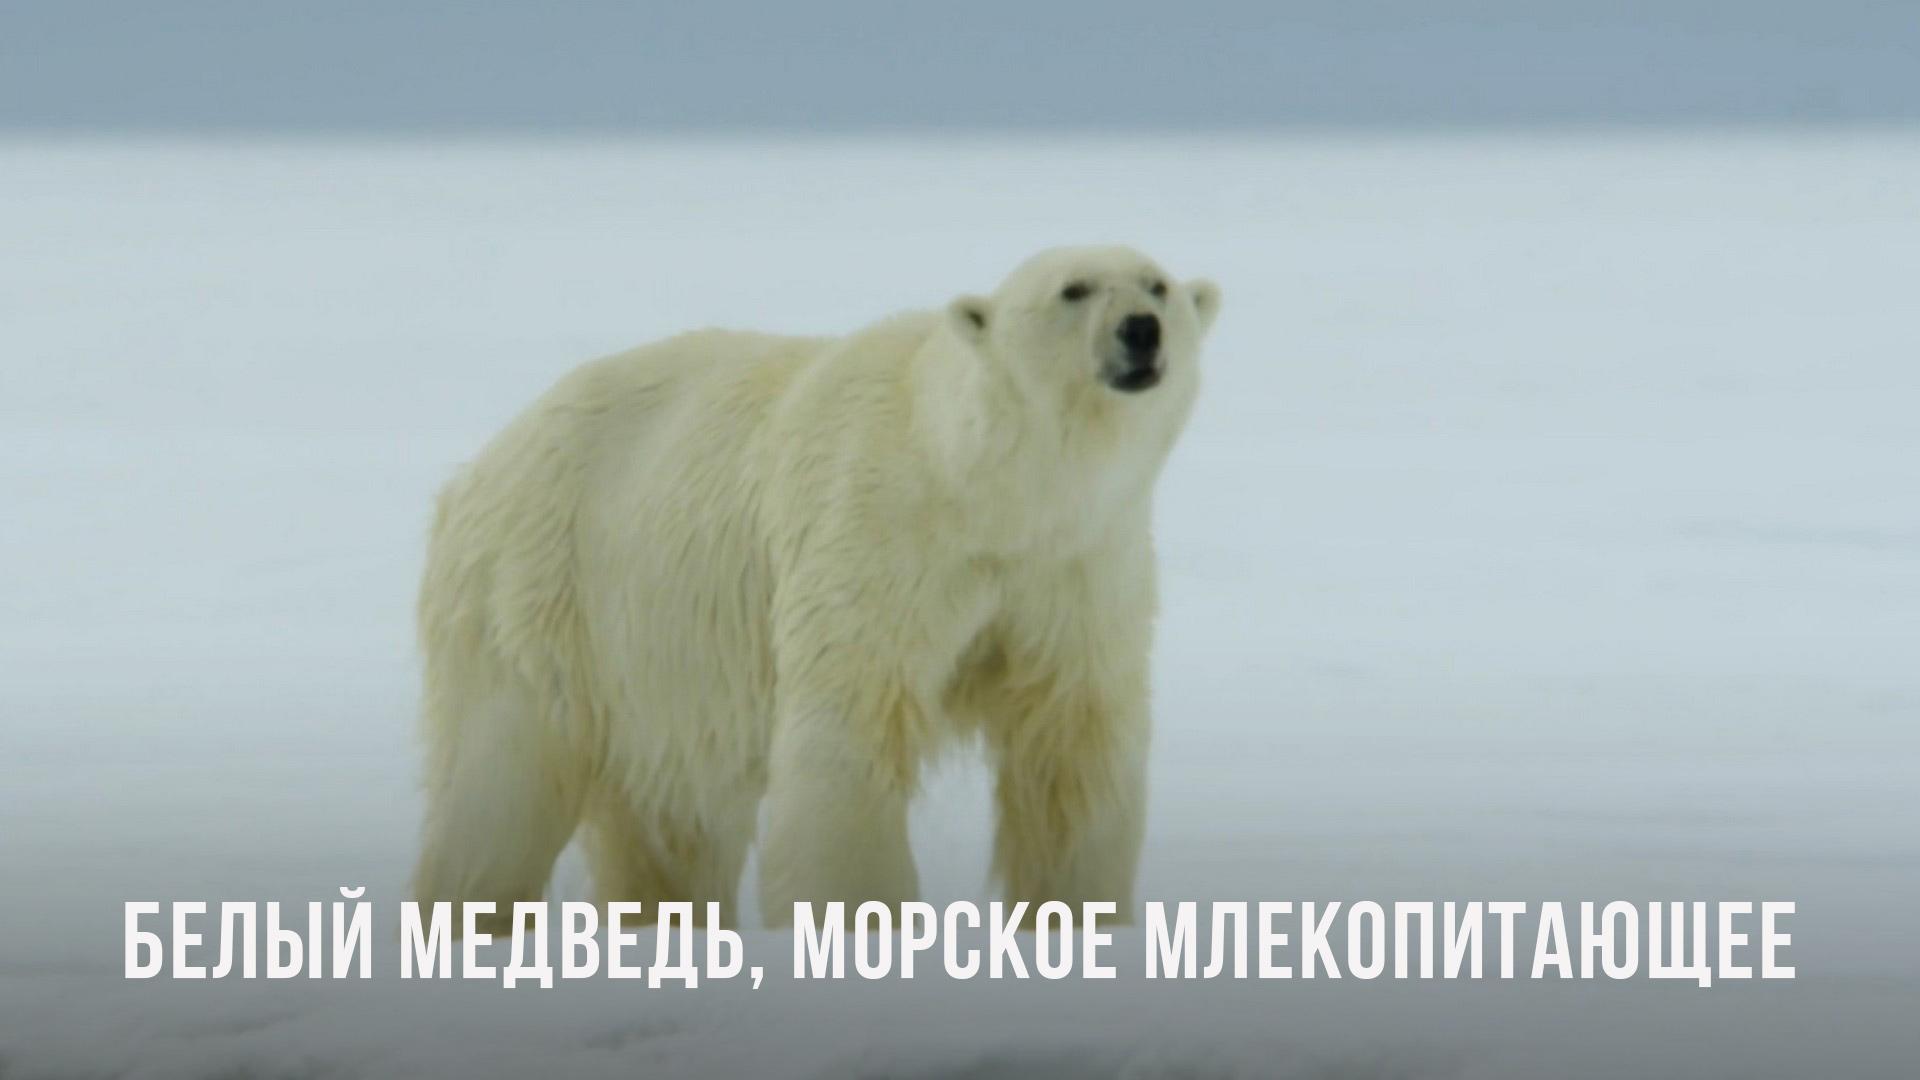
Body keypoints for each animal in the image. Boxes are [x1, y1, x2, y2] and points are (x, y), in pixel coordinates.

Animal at [410, 245, 1220, 931]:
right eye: (1073, 289)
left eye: (1157, 285)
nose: (1141, 330)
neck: (983, 491)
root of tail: (481, 464)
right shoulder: (874, 535)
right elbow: (850, 729)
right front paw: (860, 924)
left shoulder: (1076, 566)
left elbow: (1072, 741)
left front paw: (1082, 920)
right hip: (542, 589)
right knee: (501, 782)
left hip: (654, 658)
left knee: (669, 819)